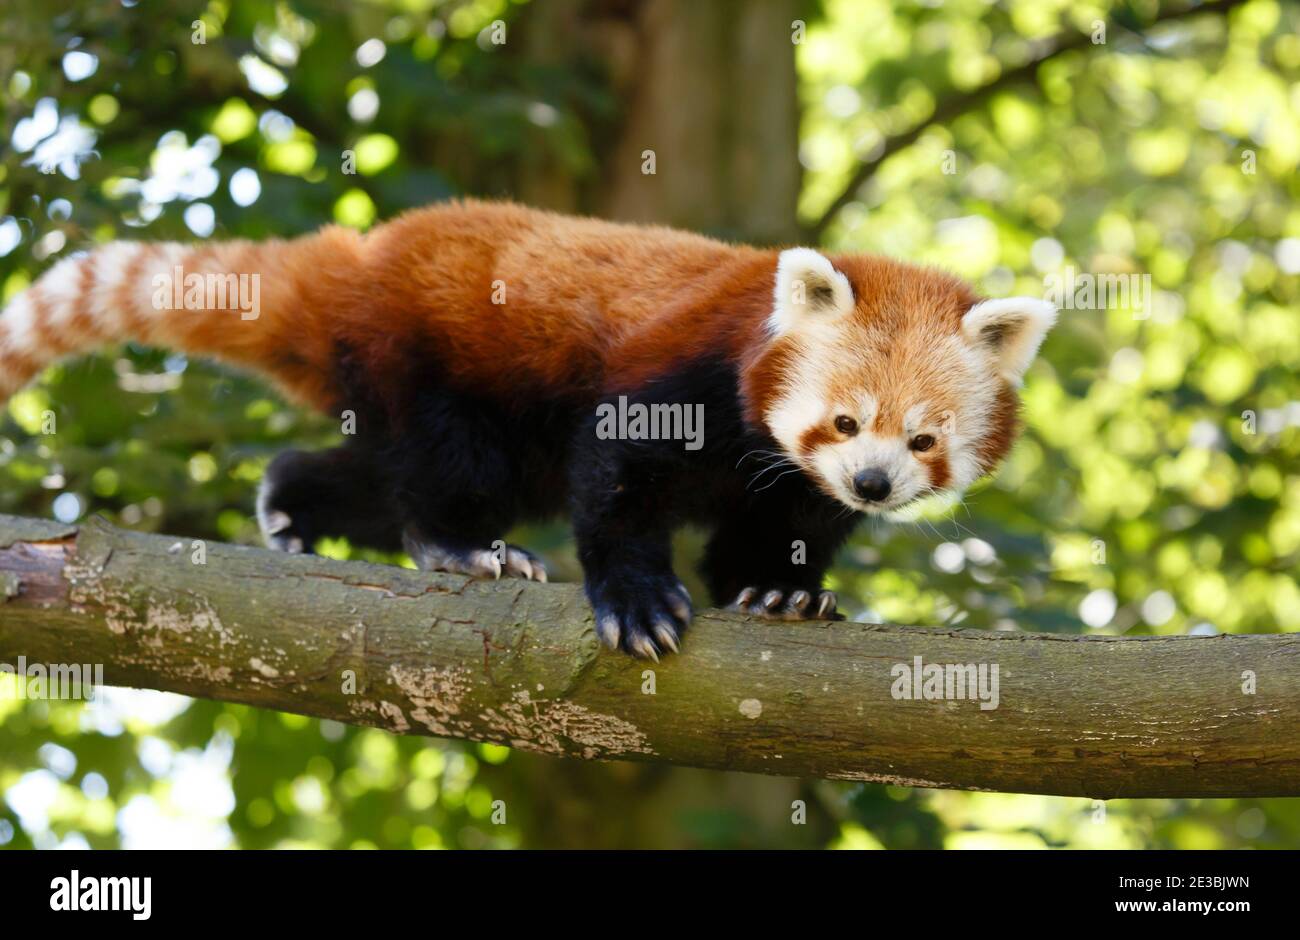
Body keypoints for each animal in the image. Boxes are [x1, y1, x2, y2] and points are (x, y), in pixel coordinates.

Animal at [0, 201, 1055, 663]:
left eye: (922, 441)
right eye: (844, 421)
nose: (872, 483)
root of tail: (361, 254)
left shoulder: (792, 483)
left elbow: (771, 537)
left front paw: (785, 594)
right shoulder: (681, 376)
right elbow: (617, 483)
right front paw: (639, 600)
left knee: (368, 471)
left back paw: (291, 508)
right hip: (429, 358)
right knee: (450, 471)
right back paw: (458, 548)